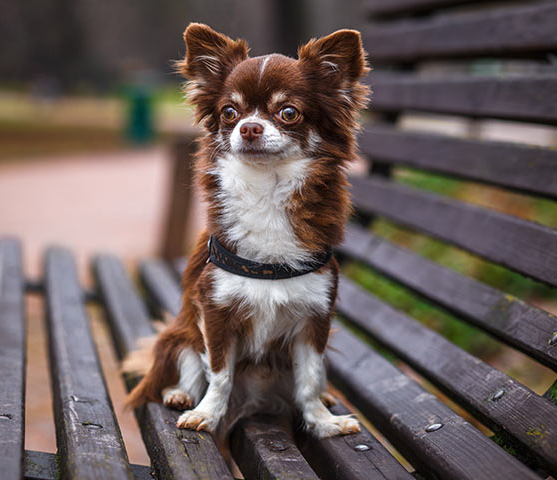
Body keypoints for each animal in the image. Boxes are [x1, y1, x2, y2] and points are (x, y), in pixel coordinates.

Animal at [126, 24, 370, 440]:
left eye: (288, 113)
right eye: (230, 112)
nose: (249, 127)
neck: (267, 191)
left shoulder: (315, 319)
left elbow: (309, 378)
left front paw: (322, 422)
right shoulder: (215, 312)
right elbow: (219, 374)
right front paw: (206, 414)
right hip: (182, 332)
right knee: (189, 362)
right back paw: (179, 394)